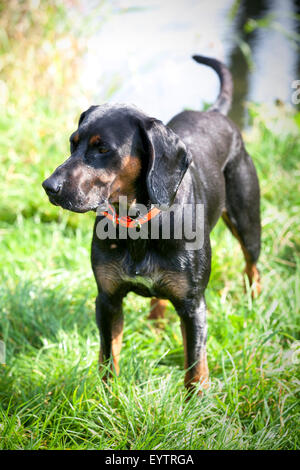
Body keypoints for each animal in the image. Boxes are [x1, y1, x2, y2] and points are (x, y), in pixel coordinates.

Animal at [42, 55, 260, 392]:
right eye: (72, 143)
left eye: (103, 148)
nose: (49, 186)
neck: (137, 225)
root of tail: (214, 112)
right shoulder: (107, 300)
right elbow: (109, 356)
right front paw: (107, 397)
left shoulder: (193, 305)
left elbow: (196, 365)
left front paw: (197, 401)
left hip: (248, 223)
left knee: (252, 265)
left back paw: (253, 300)